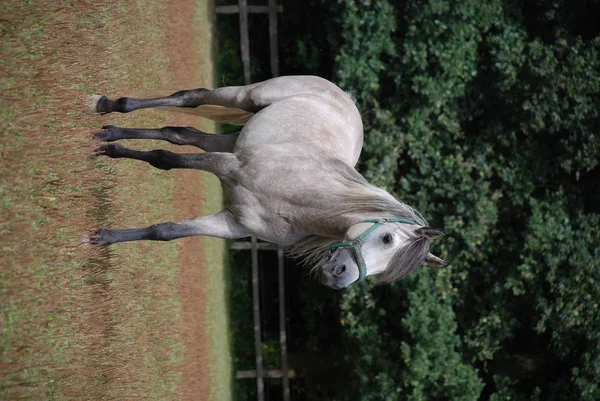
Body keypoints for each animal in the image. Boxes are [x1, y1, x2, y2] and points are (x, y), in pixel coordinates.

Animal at [89, 75, 446, 288]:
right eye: (387, 238)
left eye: (385, 272)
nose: (339, 278)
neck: (297, 197)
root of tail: (342, 94)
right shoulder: (226, 165)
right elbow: (163, 159)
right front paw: (112, 150)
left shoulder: (233, 223)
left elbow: (166, 232)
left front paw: (103, 238)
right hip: (246, 98)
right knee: (191, 97)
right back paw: (109, 109)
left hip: (231, 140)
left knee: (179, 133)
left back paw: (113, 126)